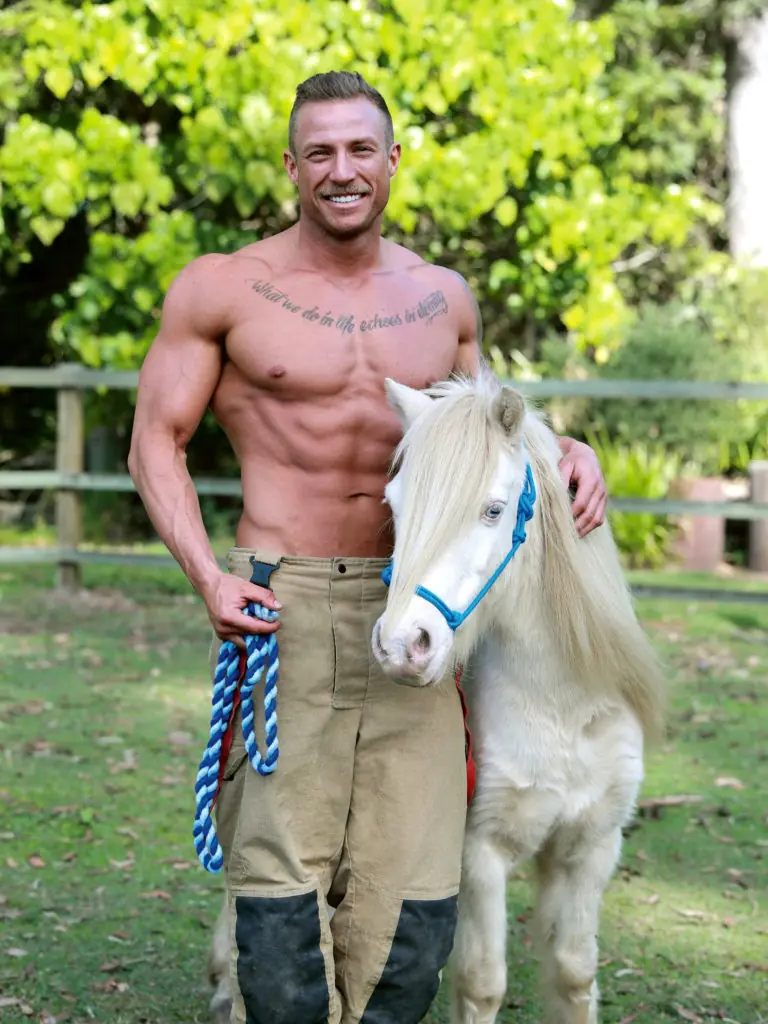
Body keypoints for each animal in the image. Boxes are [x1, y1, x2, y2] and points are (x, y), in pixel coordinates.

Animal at [372, 372, 665, 1024]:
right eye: (395, 507)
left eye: (493, 509)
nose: (403, 646)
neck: (561, 708)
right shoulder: (481, 854)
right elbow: (483, 983)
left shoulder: (591, 848)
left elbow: (575, 974)